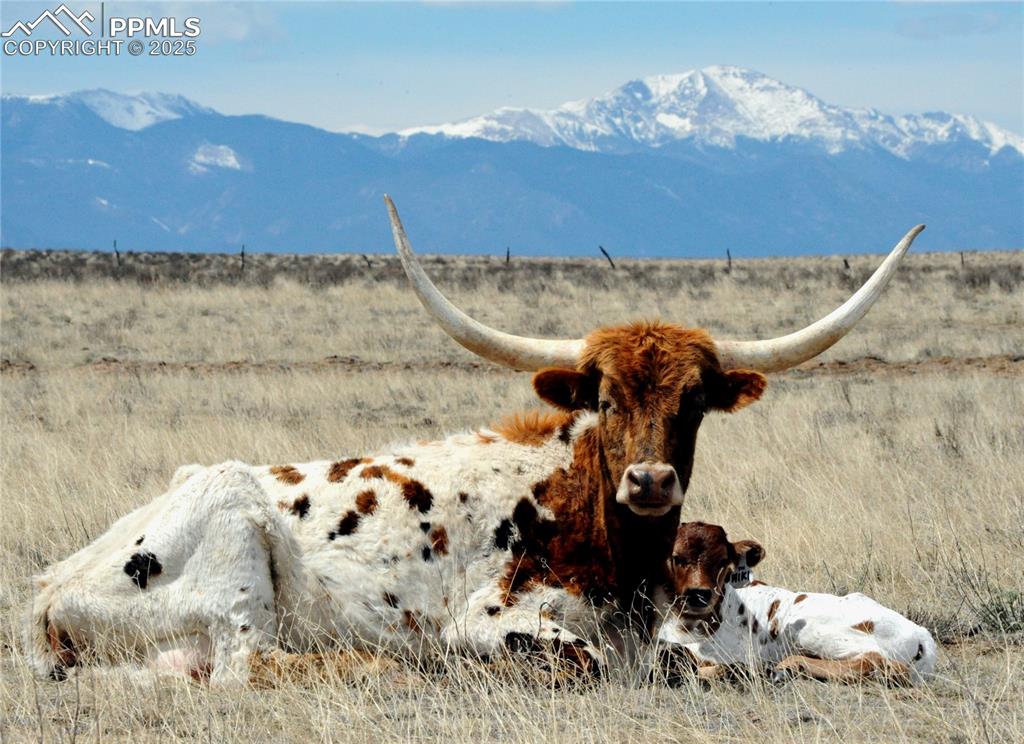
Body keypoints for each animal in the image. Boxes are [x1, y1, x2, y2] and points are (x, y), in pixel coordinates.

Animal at [657, 522, 938, 685]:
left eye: (722, 561)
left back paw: (789, 666)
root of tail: (922, 634)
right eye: (676, 557)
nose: (700, 594)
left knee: (875, 661)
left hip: (808, 628)